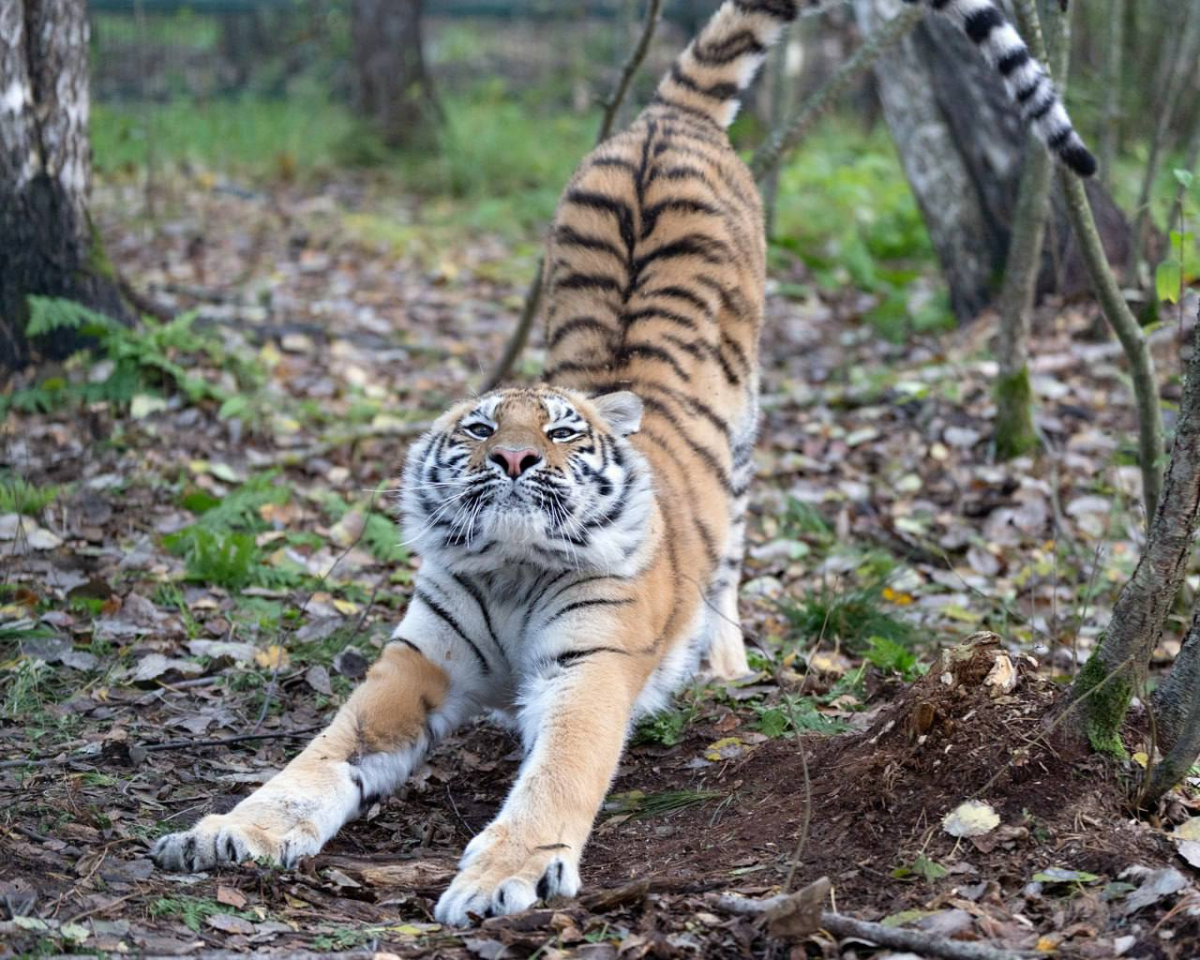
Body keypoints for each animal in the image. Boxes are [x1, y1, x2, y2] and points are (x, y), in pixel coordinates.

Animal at [152, 0, 1099, 926]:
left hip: (747, 425)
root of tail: (663, 119)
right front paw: (231, 831)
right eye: (480, 428)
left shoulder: (592, 666)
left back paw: (722, 659)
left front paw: (504, 877)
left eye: (563, 434)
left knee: (733, 558)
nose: (515, 457)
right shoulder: (419, 659)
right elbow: (318, 757)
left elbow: (555, 780)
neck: (511, 569)